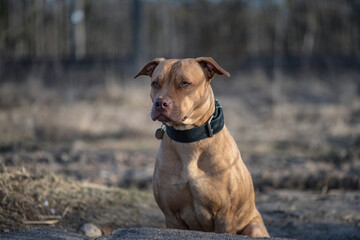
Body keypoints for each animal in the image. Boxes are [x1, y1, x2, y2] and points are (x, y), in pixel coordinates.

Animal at [135, 56, 270, 238]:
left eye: (184, 83)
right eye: (155, 83)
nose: (160, 103)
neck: (189, 139)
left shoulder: (225, 217)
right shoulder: (171, 217)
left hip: (254, 228)